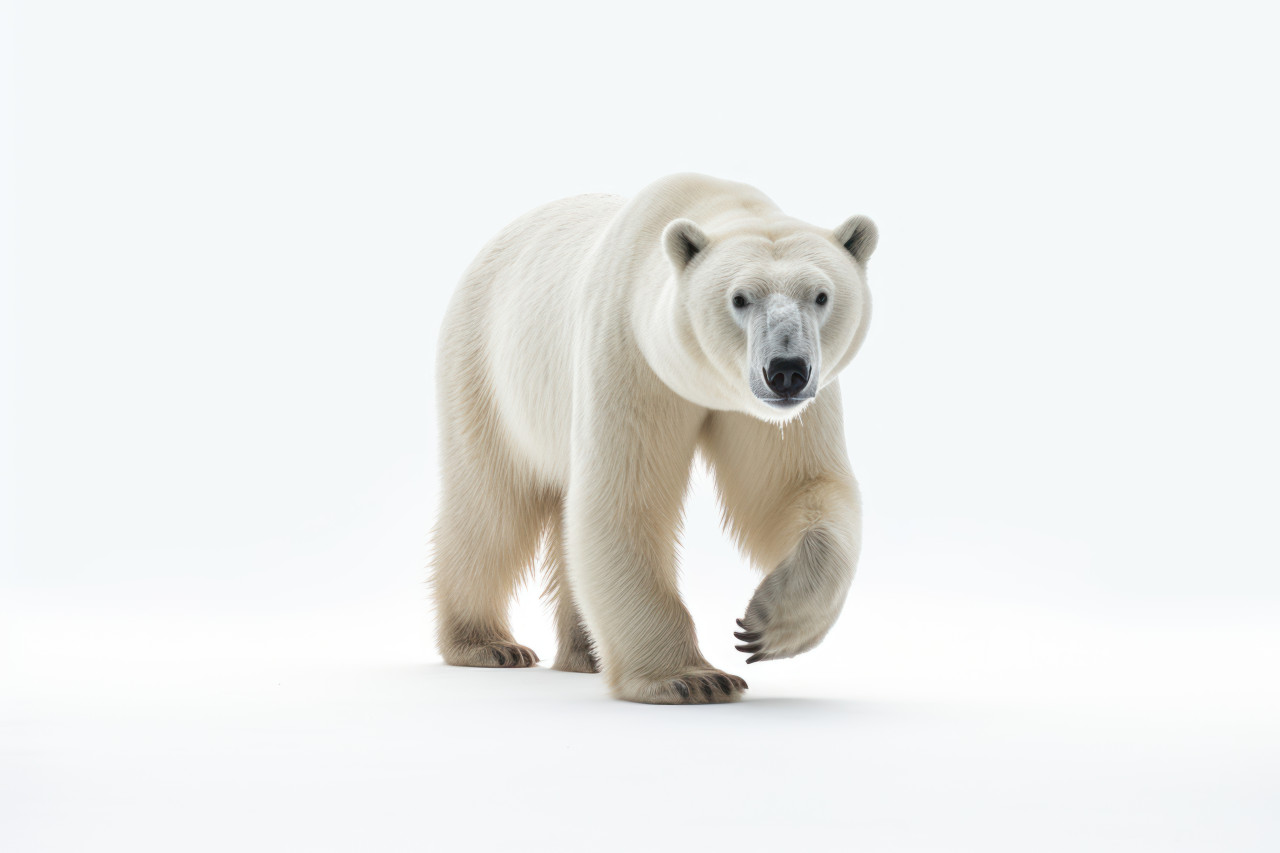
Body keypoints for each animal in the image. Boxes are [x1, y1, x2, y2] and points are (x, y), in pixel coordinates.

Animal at [430, 173, 876, 704]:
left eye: (821, 295)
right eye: (739, 298)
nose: (786, 370)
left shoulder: (780, 411)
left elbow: (792, 488)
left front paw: (766, 624)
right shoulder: (628, 352)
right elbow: (624, 498)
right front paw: (694, 678)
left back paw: (585, 652)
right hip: (486, 369)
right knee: (492, 505)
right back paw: (488, 644)